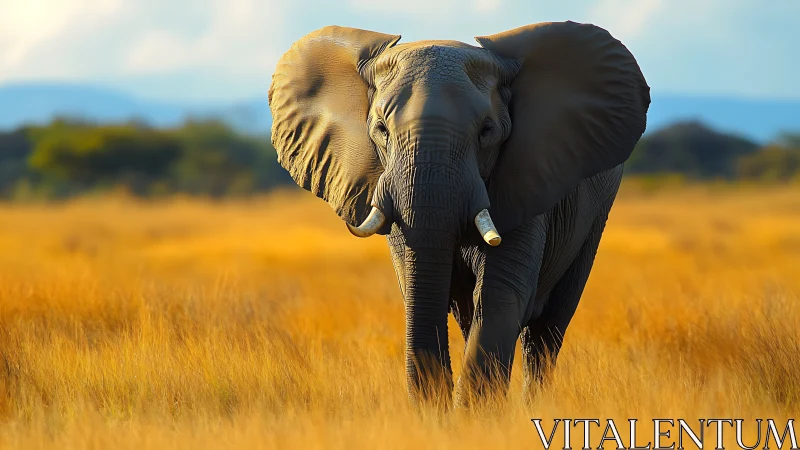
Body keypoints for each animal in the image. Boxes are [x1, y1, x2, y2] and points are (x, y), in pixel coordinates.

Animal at [268, 21, 650, 406]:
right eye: (381, 131)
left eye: (487, 131)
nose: (435, 406)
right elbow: (418, 286)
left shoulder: (526, 178)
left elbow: (499, 295)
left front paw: (474, 414)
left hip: (595, 216)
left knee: (546, 330)